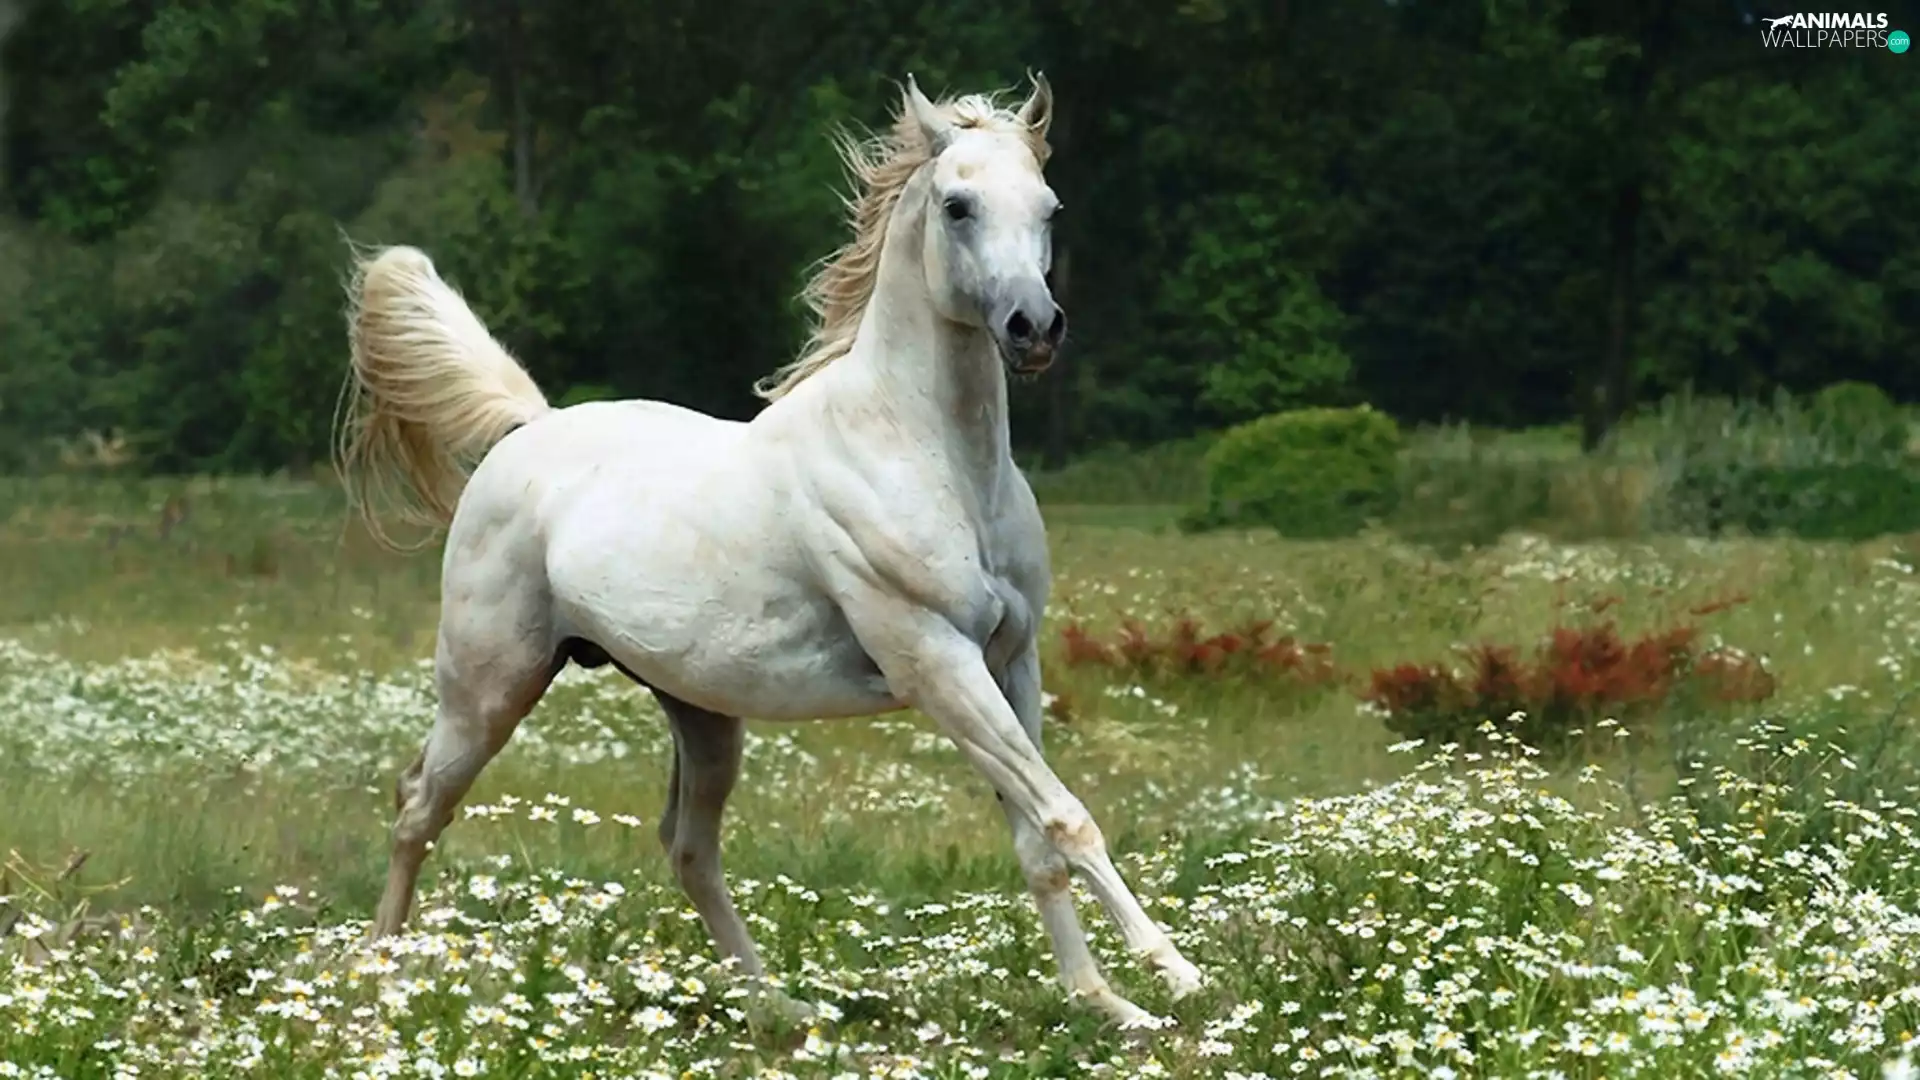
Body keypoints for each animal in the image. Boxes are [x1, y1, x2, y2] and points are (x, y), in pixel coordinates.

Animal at [333, 73, 1205, 1029]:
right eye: (958, 205)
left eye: (1048, 208)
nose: (1034, 328)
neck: (924, 455)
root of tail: (529, 429)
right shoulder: (937, 663)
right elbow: (1063, 815)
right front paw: (1176, 974)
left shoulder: (1011, 662)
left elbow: (1036, 833)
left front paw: (1109, 1005)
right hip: (488, 687)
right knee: (418, 806)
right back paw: (378, 980)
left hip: (700, 712)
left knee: (687, 848)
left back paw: (780, 1010)